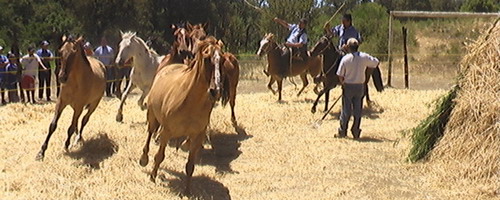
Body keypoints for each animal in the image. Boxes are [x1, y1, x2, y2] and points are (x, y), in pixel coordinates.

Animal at [139, 36, 225, 195]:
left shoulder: (197, 136)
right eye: (207, 58)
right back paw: (144, 159)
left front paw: (187, 190)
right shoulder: (166, 131)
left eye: (221, 60)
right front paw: (153, 177)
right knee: (149, 134)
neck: (190, 101)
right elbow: (159, 156)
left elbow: (190, 165)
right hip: (153, 118)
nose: (215, 90)